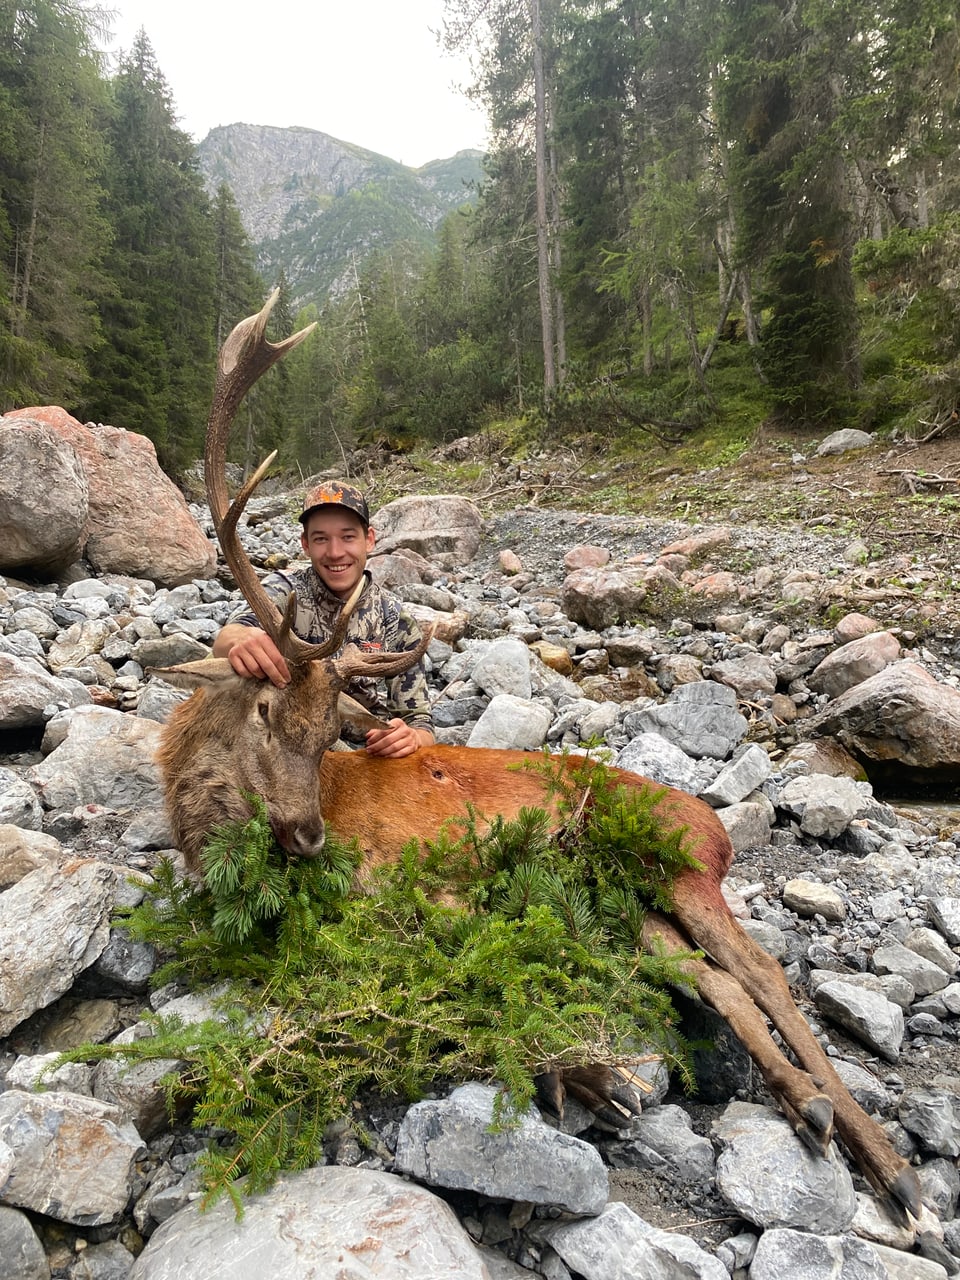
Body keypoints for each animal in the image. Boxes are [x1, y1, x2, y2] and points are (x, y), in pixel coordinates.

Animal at [156, 293, 926, 1228]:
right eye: (265, 711)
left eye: (329, 725)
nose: (306, 835)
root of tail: (716, 829)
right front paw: (591, 1078)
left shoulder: (430, 876)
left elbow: (474, 962)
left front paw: (593, 1076)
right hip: (631, 905)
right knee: (718, 983)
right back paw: (810, 1110)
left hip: (680, 864)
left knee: (766, 973)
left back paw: (898, 1176)